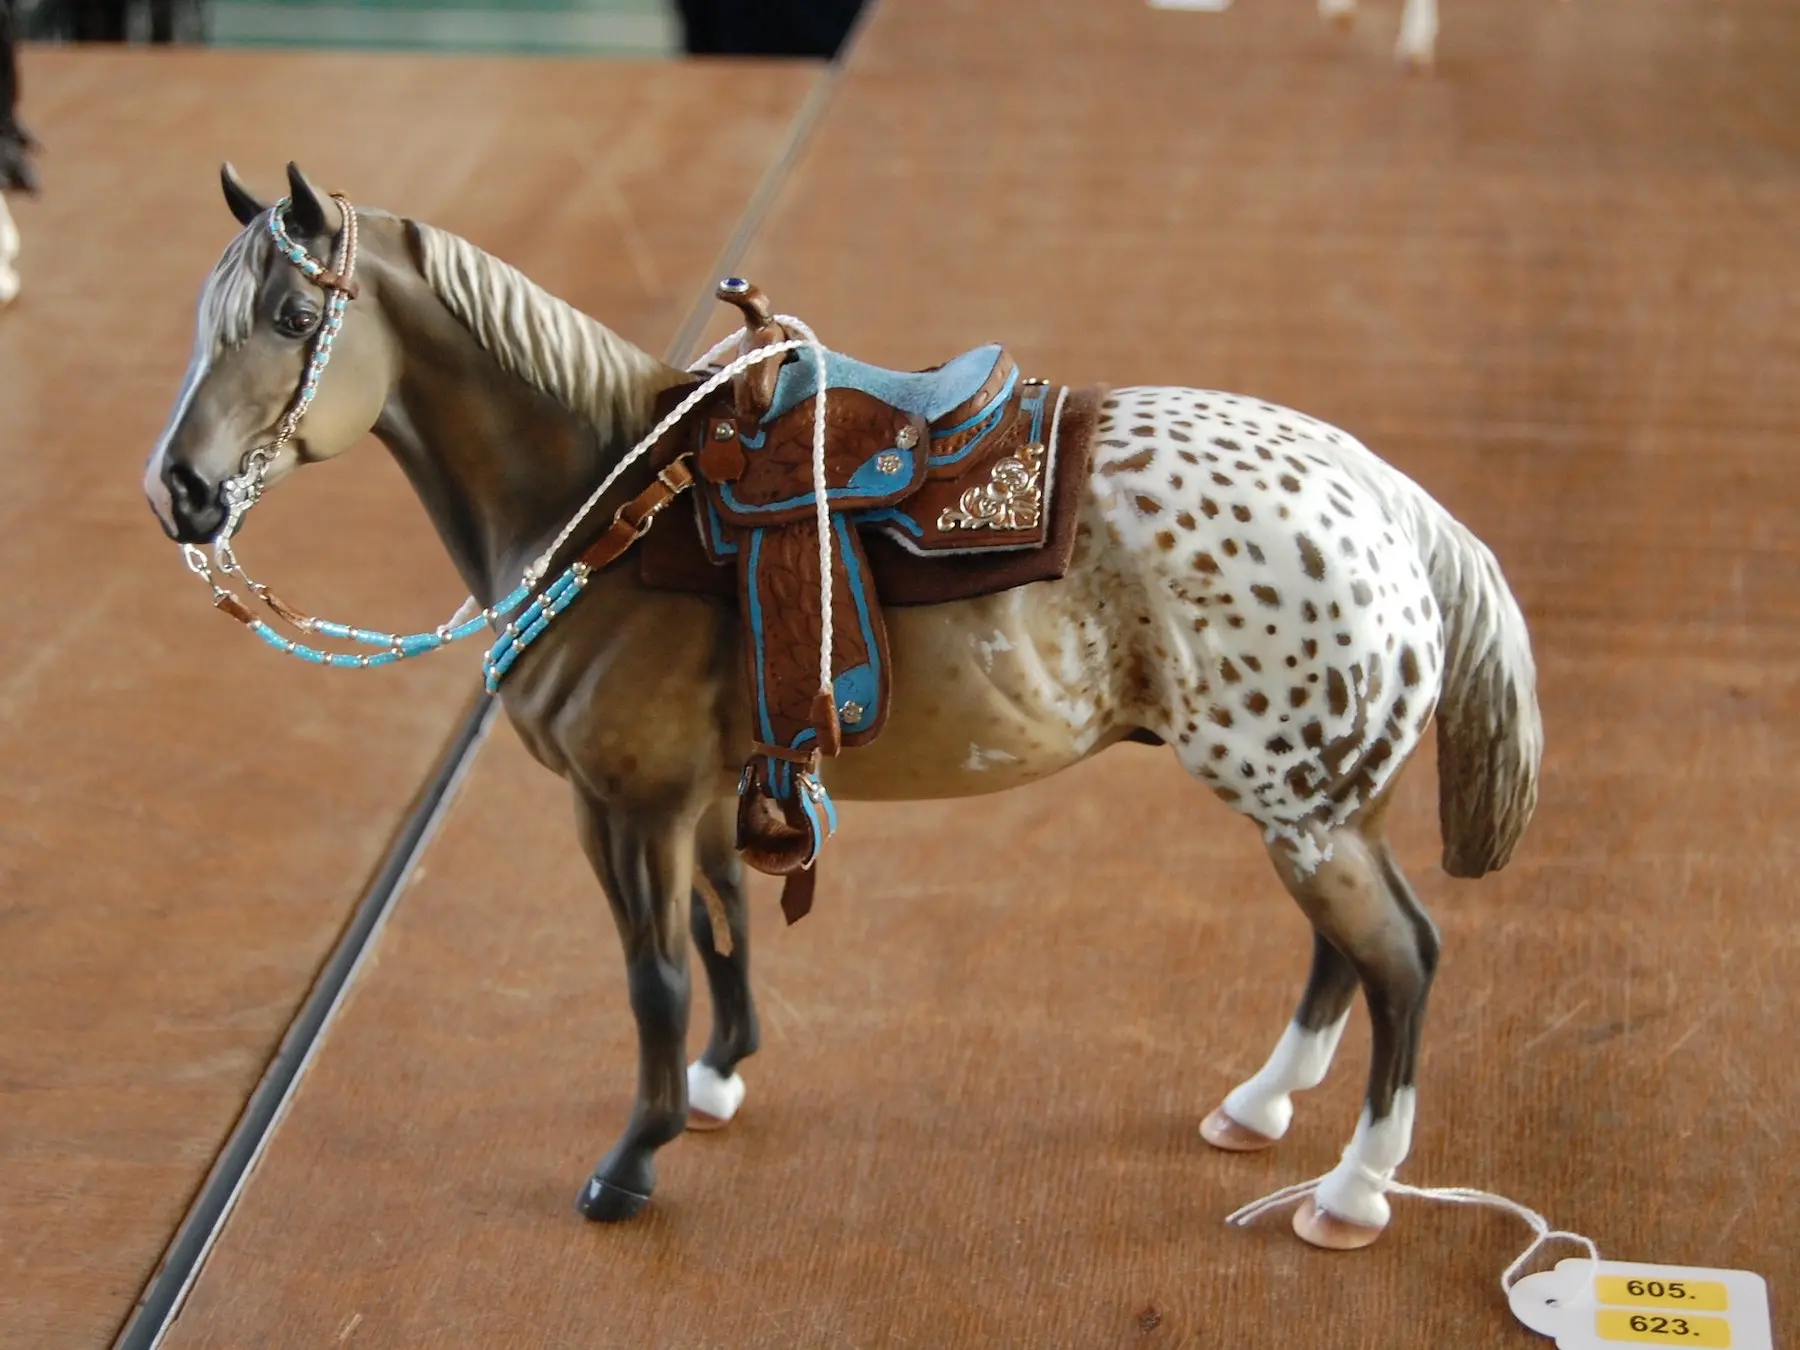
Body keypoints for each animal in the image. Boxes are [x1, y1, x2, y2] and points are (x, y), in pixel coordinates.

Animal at [144, 166, 1548, 1260]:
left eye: (289, 315)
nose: (181, 495)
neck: (613, 500)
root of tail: (1386, 494)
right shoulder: (707, 793)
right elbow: (720, 936)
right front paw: (718, 1079)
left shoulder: (627, 807)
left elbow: (653, 975)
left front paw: (633, 1159)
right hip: (1315, 805)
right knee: (1343, 957)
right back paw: (1258, 1109)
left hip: (1300, 808)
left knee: (1401, 959)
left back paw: (1352, 1195)